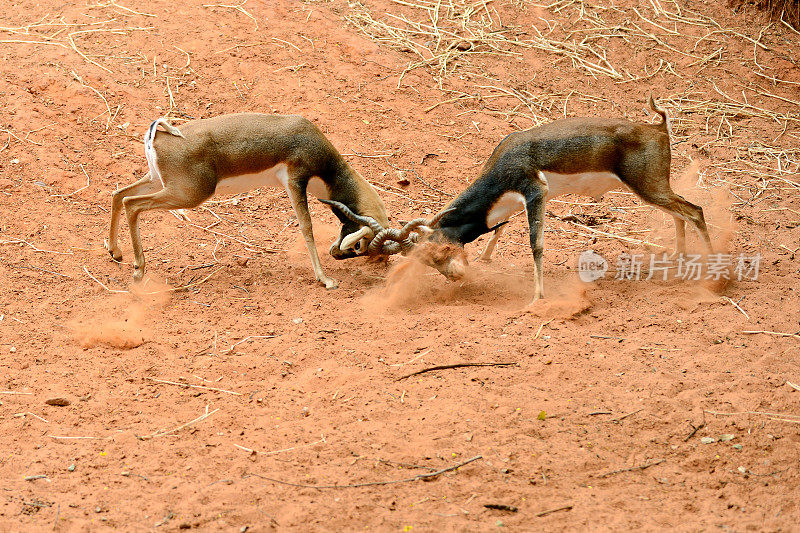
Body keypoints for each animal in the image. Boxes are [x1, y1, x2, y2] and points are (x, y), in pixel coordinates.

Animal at [324, 97, 712, 302]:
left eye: (440, 253)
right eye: (427, 262)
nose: (457, 277)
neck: (505, 162)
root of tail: (659, 128)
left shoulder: (535, 191)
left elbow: (535, 243)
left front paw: (538, 297)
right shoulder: (518, 200)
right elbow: (499, 227)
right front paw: (485, 257)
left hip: (648, 187)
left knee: (694, 210)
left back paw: (713, 274)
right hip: (653, 191)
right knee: (680, 213)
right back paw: (681, 261)